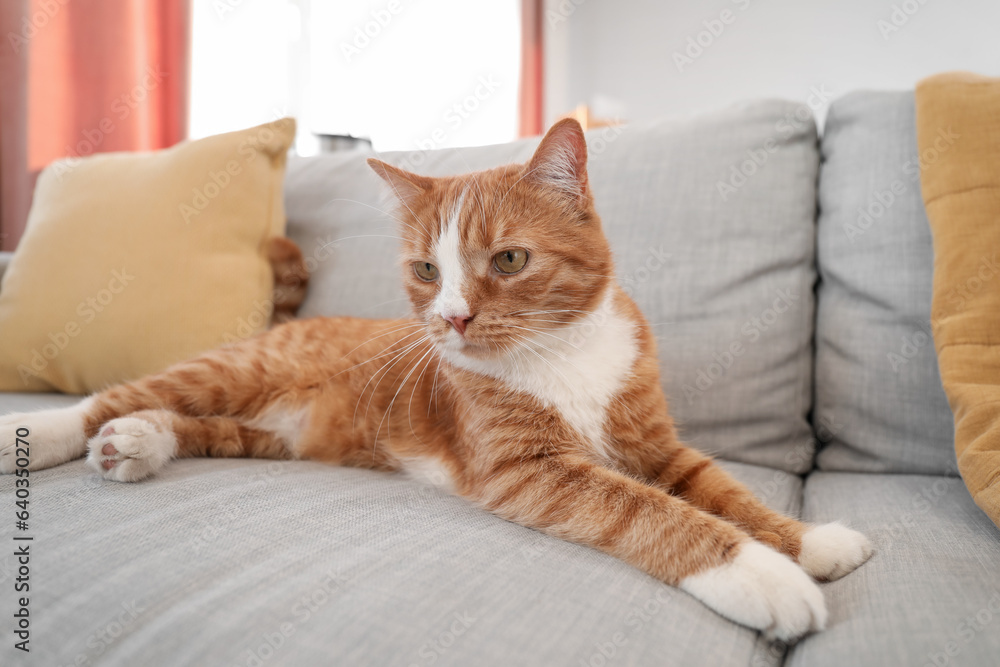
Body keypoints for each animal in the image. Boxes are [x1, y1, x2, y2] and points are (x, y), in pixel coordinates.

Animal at [1, 120, 868, 640]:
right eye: (426, 270)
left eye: (509, 259)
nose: (449, 317)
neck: (562, 355)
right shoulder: (528, 470)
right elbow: (648, 510)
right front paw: (760, 572)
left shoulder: (654, 442)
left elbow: (721, 489)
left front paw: (808, 539)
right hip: (232, 371)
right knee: (117, 395)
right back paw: (41, 433)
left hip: (272, 434)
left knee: (184, 422)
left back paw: (137, 444)